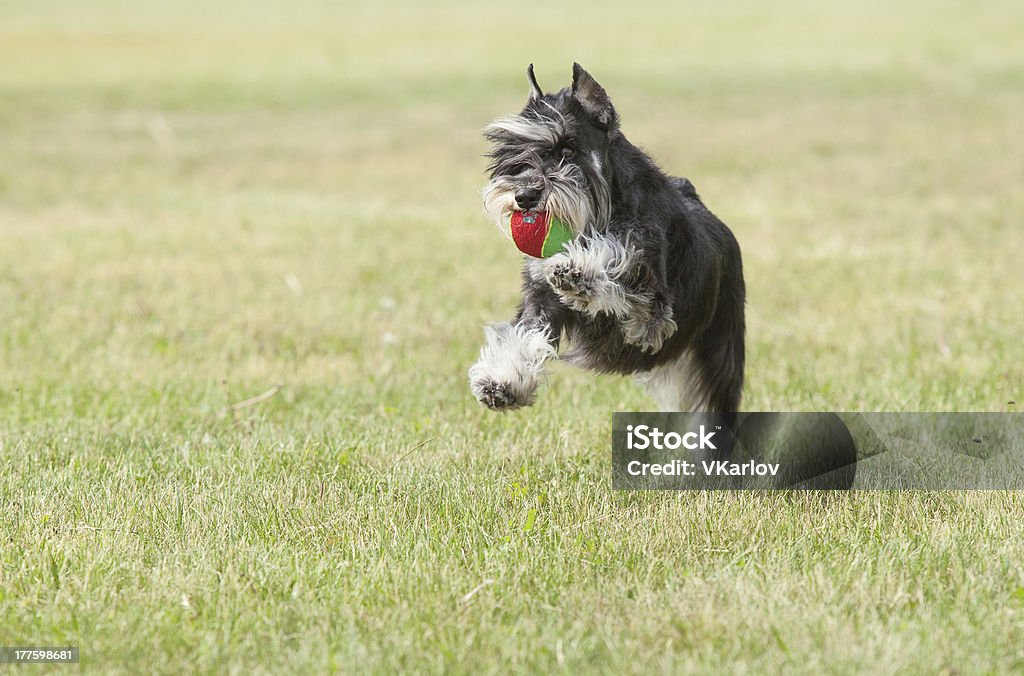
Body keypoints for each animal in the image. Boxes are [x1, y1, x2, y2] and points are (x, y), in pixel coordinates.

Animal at [466, 64, 745, 411]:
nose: (524, 196)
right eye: (515, 152)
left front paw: (578, 270)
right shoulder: (540, 298)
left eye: (567, 150)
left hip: (721, 351)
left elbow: (617, 257)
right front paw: (501, 381)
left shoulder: (652, 312)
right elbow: (524, 334)